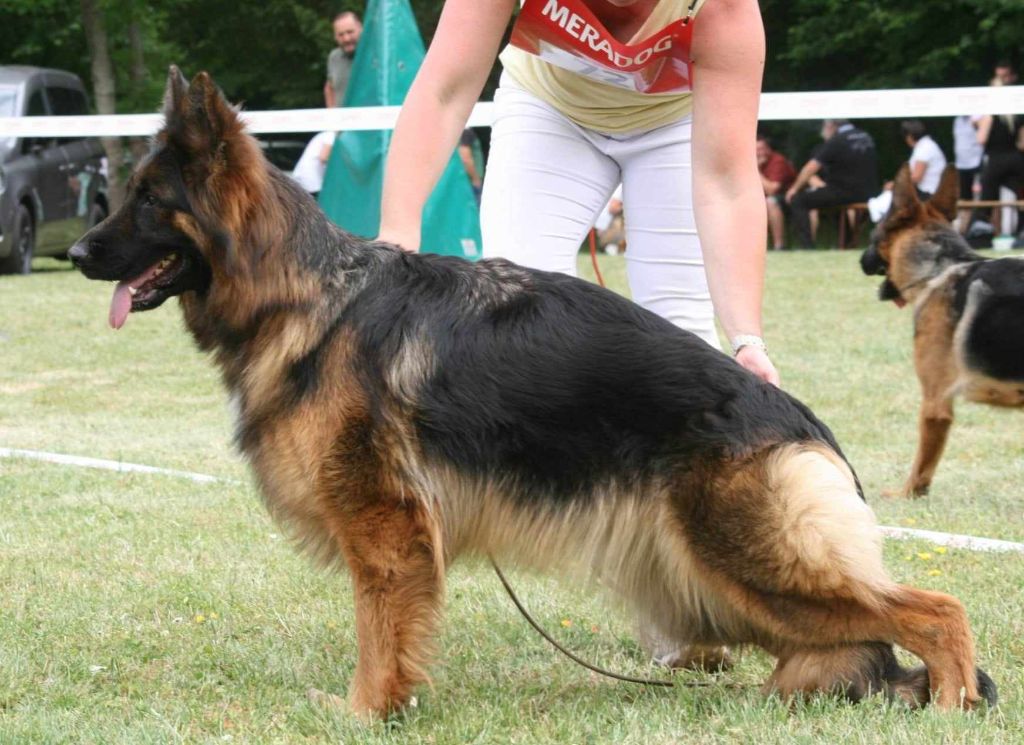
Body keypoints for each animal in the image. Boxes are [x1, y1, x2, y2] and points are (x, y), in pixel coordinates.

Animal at [68, 69, 995, 716]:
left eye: (148, 201)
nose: (74, 252)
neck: (307, 294)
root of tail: (801, 422)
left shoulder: (384, 527)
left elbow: (379, 635)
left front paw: (366, 712)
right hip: (725, 582)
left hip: (747, 565)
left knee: (939, 609)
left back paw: (952, 702)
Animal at [864, 164, 1024, 497]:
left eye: (874, 235)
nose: (861, 260)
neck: (938, 270)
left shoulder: (935, 402)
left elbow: (922, 463)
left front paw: (906, 495)